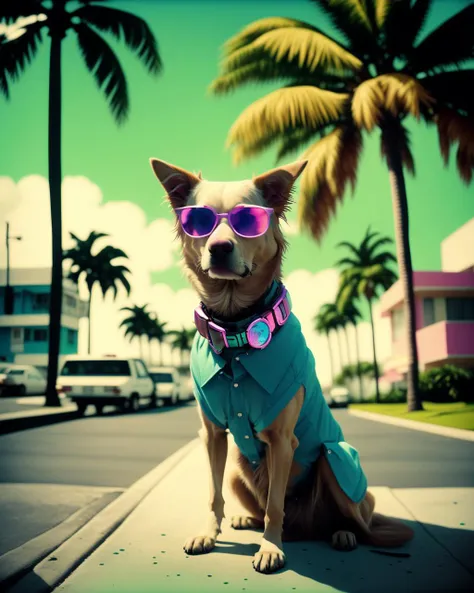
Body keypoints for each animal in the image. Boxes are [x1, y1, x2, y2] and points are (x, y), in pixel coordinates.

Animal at [150, 158, 412, 572]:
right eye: (199, 220)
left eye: (248, 220)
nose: (219, 248)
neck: (235, 332)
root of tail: (305, 527)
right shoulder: (212, 436)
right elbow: (213, 493)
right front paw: (209, 533)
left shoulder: (282, 442)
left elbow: (275, 504)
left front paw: (271, 547)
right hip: (239, 468)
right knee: (254, 503)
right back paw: (247, 520)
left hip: (335, 459)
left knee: (354, 519)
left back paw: (343, 534)